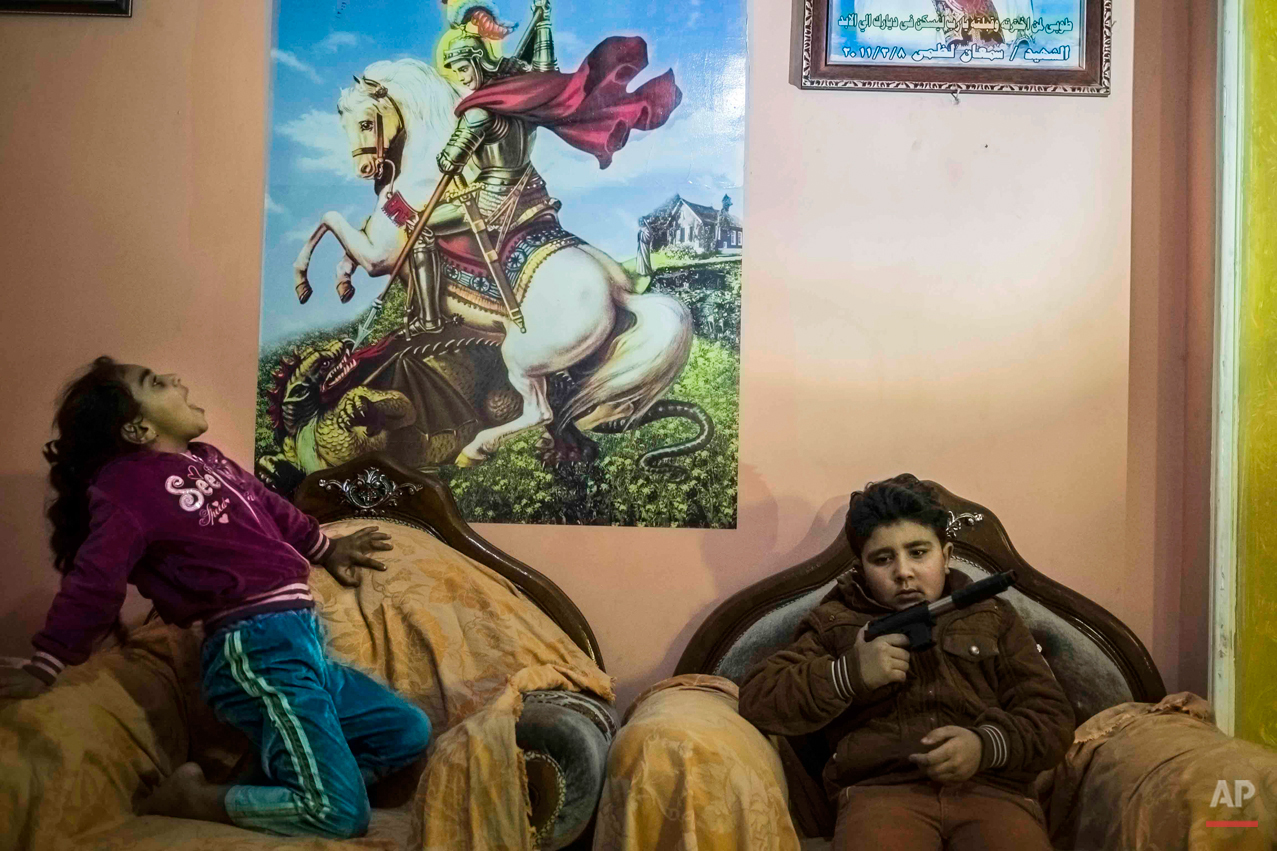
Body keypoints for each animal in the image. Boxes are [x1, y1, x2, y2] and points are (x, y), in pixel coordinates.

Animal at [291, 56, 694, 467]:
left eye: (366, 123)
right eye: (342, 120)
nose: (365, 171)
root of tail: (616, 290)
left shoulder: (382, 255)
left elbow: (330, 220)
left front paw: (304, 282)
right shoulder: (372, 246)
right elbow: (341, 238)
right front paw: (342, 283)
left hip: (520, 358)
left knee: (541, 410)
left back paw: (476, 447)